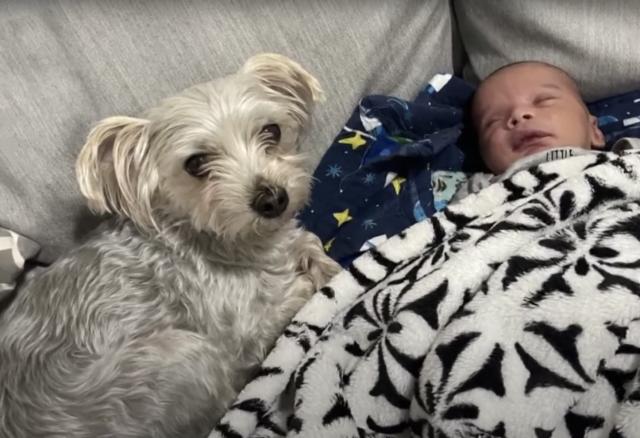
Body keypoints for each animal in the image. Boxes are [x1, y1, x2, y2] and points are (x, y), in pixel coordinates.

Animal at [0, 54, 342, 438]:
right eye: (196, 163)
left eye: (272, 131)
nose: (273, 200)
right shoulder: (246, 329)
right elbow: (295, 294)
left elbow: (308, 243)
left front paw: (324, 263)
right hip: (180, 358)